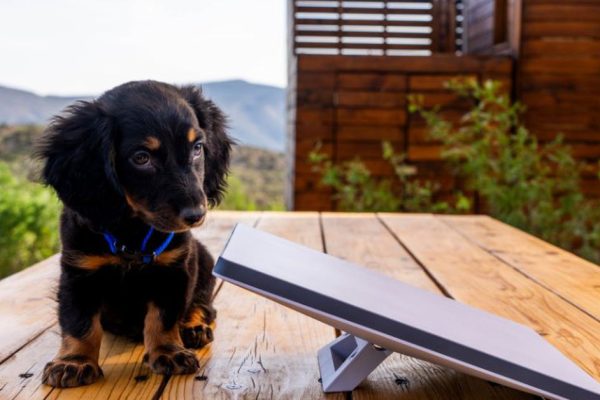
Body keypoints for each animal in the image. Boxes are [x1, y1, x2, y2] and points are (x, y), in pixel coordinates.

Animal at [35, 80, 232, 388]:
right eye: (141, 158)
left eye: (198, 147)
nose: (196, 214)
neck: (131, 235)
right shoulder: (79, 272)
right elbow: (79, 322)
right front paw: (74, 361)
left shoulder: (173, 269)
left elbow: (163, 317)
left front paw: (168, 351)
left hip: (204, 259)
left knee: (204, 305)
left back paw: (193, 328)